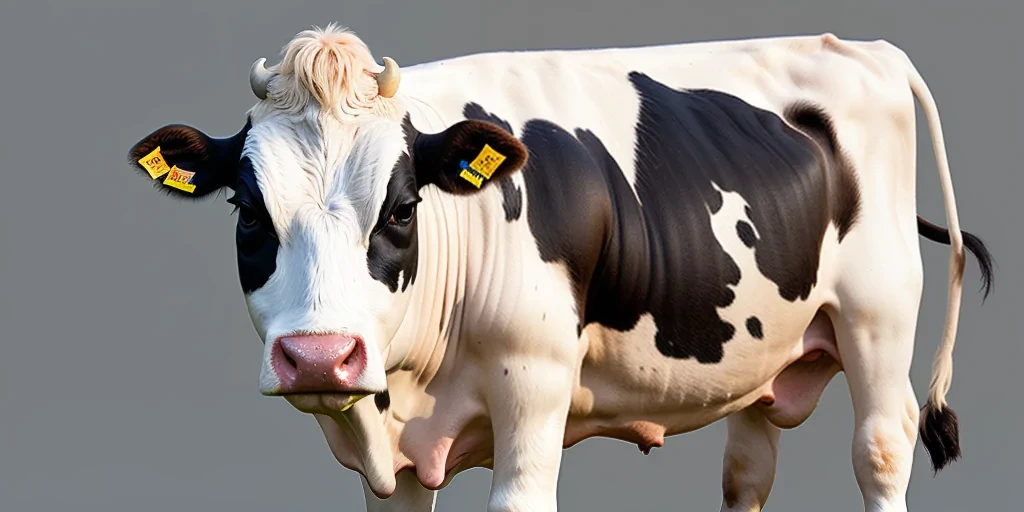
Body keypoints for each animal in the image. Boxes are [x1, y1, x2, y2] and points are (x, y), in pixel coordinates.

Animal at [127, 25, 995, 512]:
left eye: (402, 209)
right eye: (248, 211)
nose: (317, 356)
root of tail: (861, 46)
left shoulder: (534, 388)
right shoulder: (398, 461)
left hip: (878, 315)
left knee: (881, 447)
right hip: (758, 346)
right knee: (747, 471)